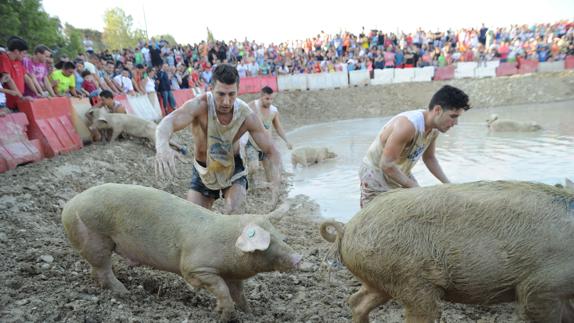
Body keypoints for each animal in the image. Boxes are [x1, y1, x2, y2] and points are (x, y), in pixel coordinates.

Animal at [61, 185, 304, 322]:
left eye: (281, 237)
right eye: (267, 244)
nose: (299, 258)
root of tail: (69, 204)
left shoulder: (234, 277)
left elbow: (239, 294)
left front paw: (251, 314)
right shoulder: (194, 268)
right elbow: (221, 289)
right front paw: (223, 315)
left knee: (96, 271)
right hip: (95, 237)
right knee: (103, 269)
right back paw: (125, 292)